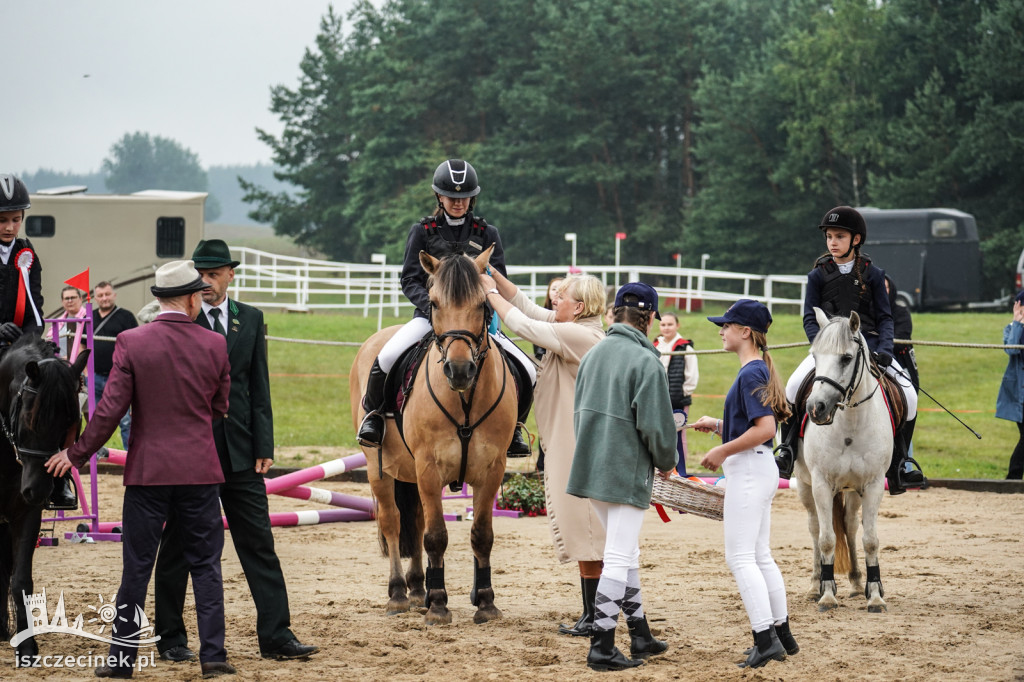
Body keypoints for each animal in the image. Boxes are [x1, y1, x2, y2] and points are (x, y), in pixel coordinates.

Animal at [0, 333, 87, 659]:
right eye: (30, 417)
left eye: (71, 421)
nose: (37, 491)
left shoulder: (25, 514)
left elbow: (20, 580)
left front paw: (26, 646)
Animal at [350, 246, 516, 622]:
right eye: (435, 303)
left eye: (483, 303)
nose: (459, 370)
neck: (464, 399)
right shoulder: (428, 467)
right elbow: (436, 535)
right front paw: (439, 604)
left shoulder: (492, 469)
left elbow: (481, 534)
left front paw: (486, 602)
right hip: (379, 468)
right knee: (393, 521)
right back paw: (399, 593)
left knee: (414, 519)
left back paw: (416, 589)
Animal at [794, 307, 892, 610]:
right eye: (815, 356)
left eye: (846, 358)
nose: (816, 408)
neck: (850, 423)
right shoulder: (821, 484)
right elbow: (826, 539)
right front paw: (826, 594)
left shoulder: (873, 485)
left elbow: (870, 540)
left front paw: (875, 596)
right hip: (805, 486)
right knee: (815, 528)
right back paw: (815, 585)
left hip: (852, 490)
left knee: (849, 526)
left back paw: (858, 583)